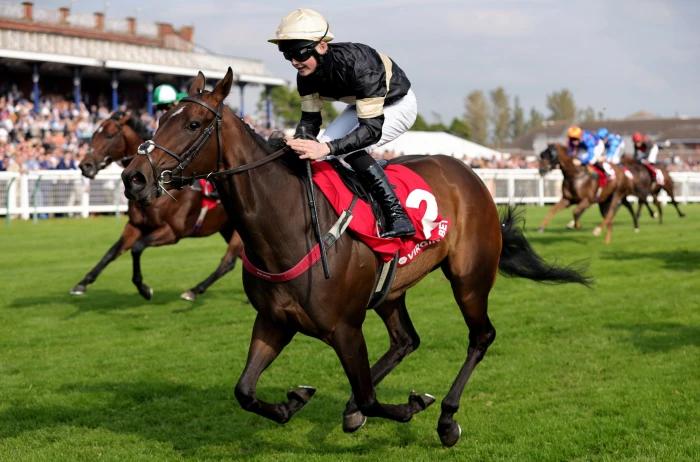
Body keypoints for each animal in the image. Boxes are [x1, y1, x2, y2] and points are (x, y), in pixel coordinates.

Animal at [71, 110, 241, 302]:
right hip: (228, 228)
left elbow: (137, 247)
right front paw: (82, 283)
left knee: (228, 262)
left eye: (109, 135)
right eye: (93, 134)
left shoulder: (172, 231)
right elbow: (112, 252)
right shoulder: (135, 226)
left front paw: (144, 288)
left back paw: (194, 290)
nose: (85, 165)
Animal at [121, 68, 592, 448]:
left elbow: (370, 396)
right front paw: (293, 401)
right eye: (160, 120)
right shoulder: (273, 321)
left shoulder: (345, 328)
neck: (287, 223)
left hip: (469, 277)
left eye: (194, 123)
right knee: (406, 340)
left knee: (481, 337)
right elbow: (245, 391)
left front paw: (411, 405)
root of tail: (469, 174)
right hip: (391, 289)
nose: (133, 177)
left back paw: (445, 418)